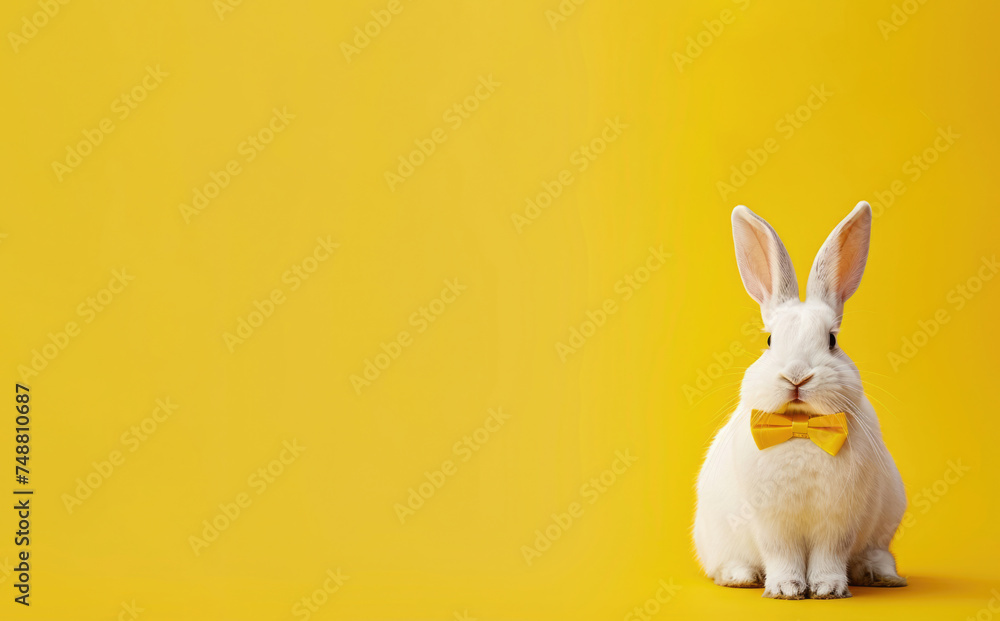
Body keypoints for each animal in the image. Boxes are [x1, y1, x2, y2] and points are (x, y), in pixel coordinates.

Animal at [692, 201, 907, 599]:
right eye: (769, 341)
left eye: (832, 340)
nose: (796, 375)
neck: (801, 427)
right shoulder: (772, 525)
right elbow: (782, 555)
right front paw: (786, 589)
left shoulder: (838, 524)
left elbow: (829, 555)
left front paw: (828, 589)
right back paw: (741, 577)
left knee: (874, 554)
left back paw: (881, 576)